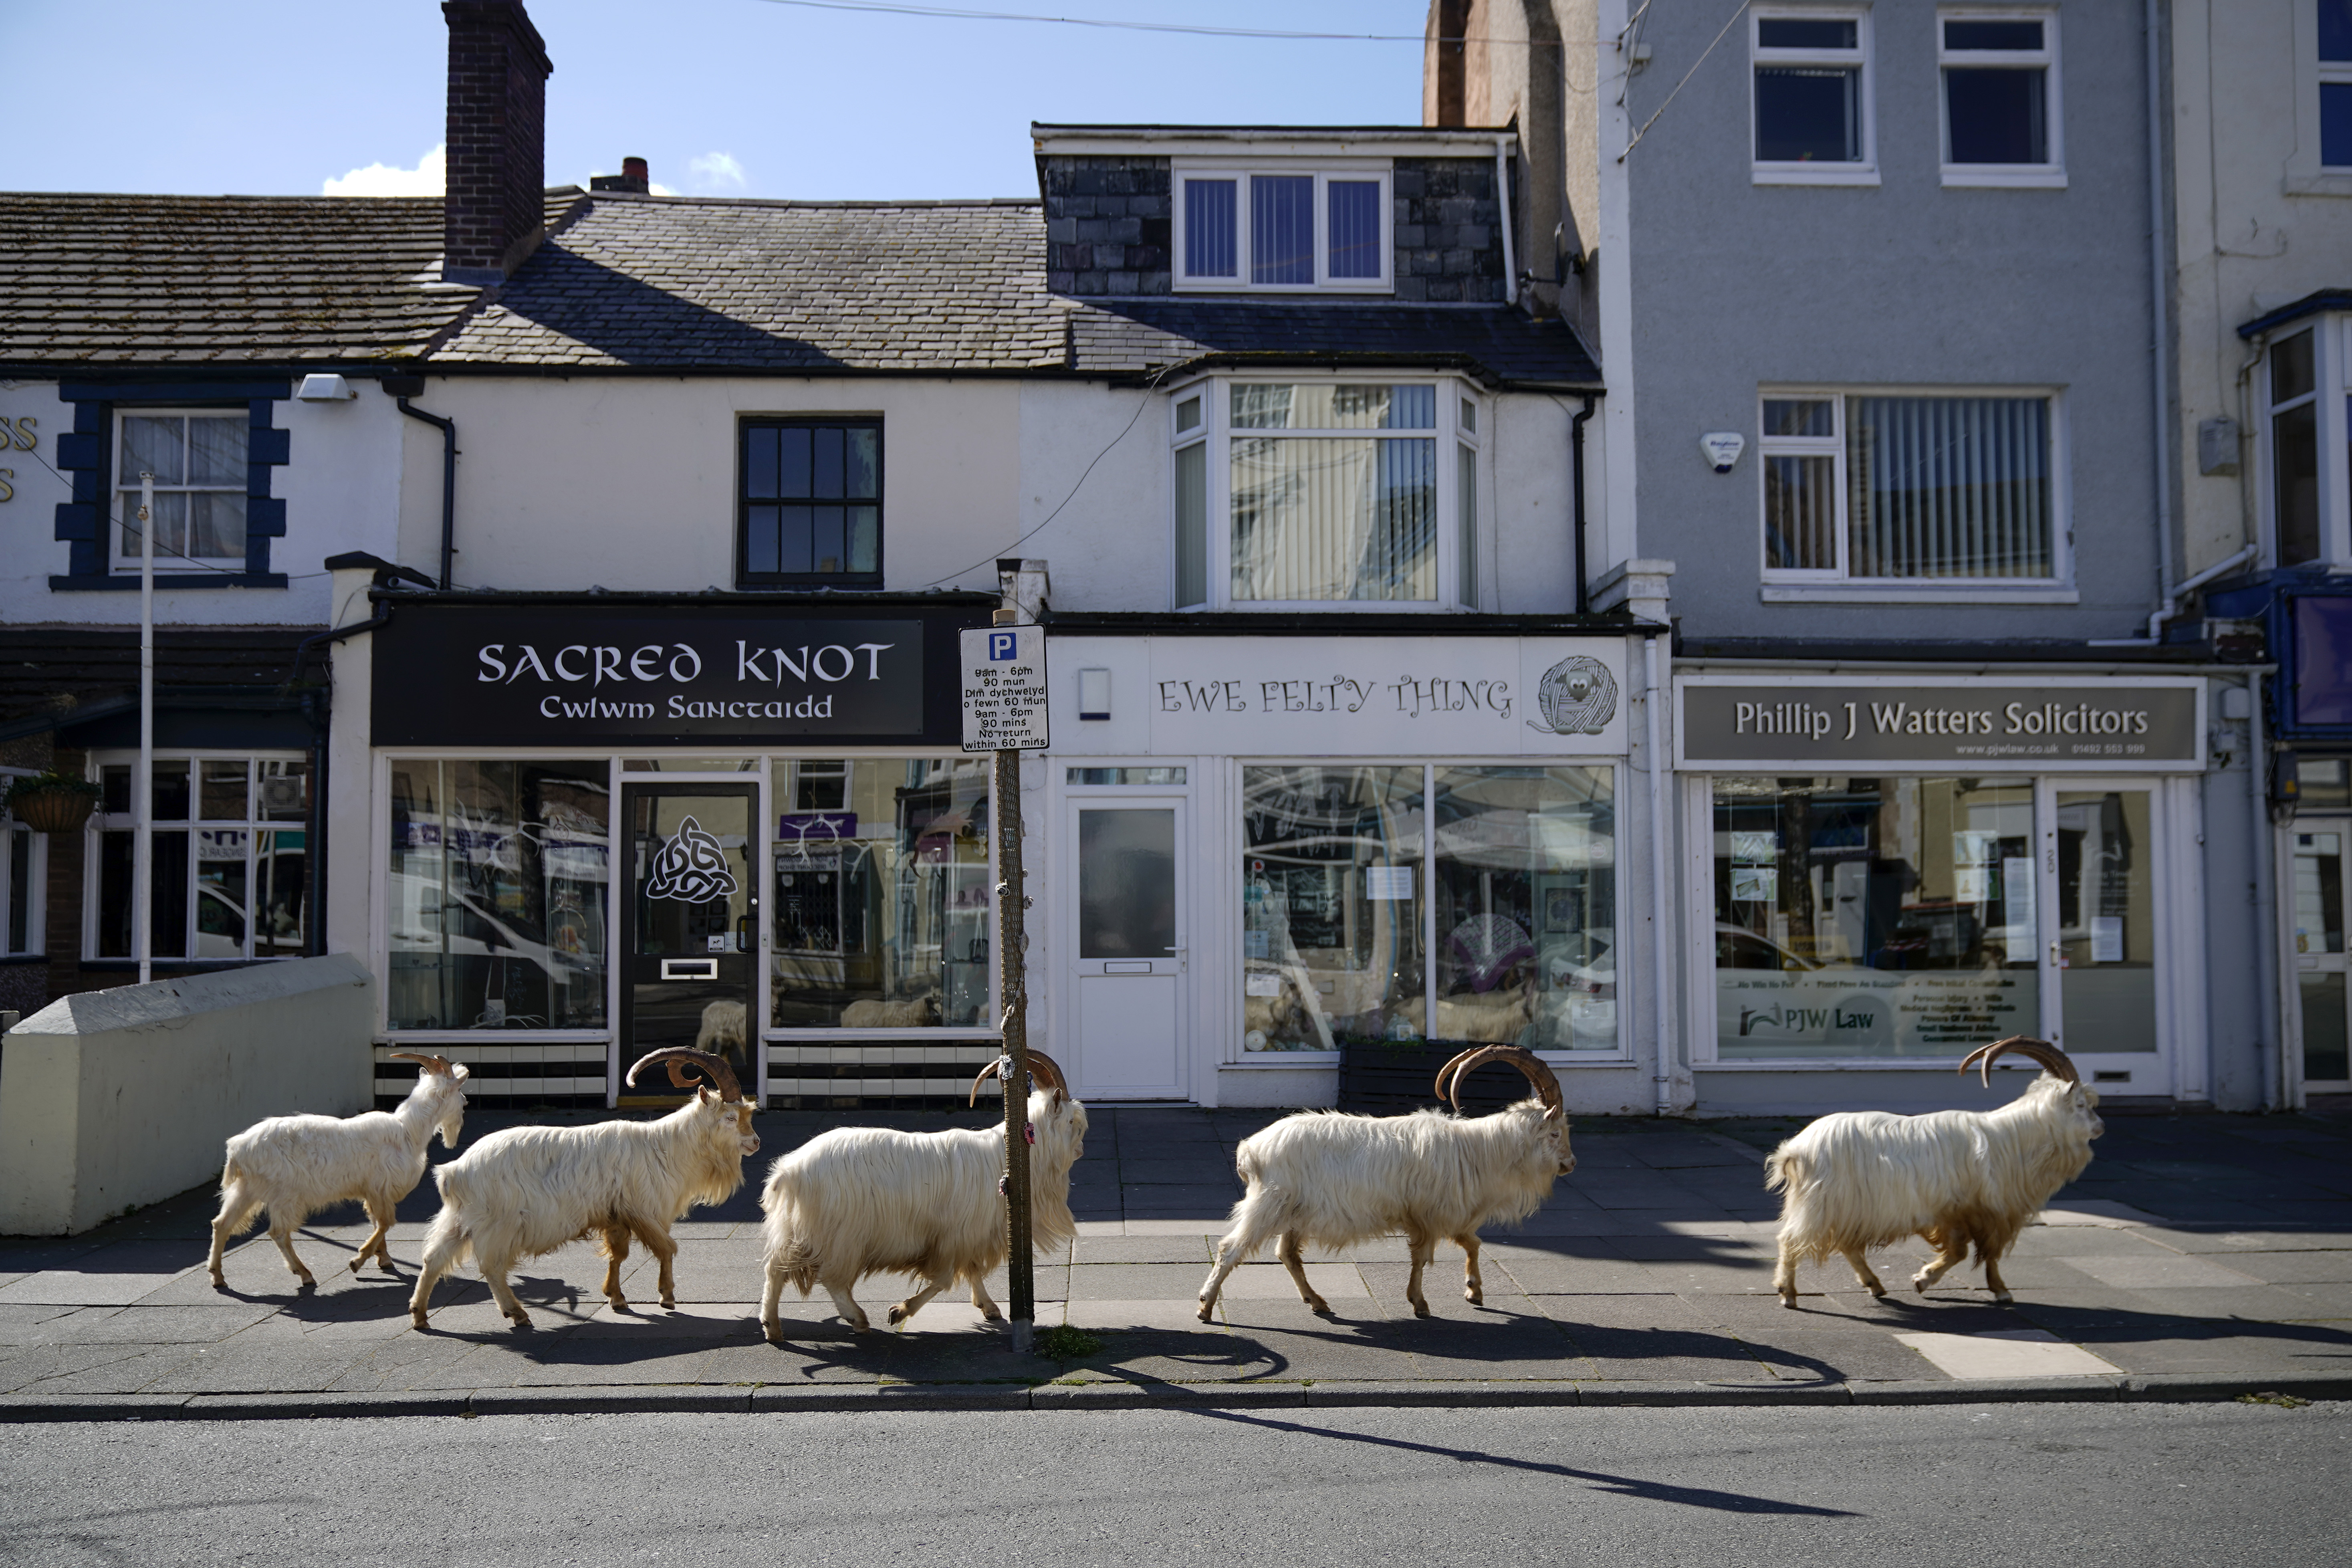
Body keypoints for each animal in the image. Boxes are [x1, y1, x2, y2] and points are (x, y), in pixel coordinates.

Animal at [212, 1048, 472, 1298]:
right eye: (460, 1093)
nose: (466, 1102)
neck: (408, 1131)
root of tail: (238, 1148)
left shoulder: (372, 1192)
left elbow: (378, 1222)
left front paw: (384, 1260)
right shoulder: (380, 1187)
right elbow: (386, 1222)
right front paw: (358, 1261)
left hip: (247, 1189)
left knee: (222, 1224)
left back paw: (218, 1277)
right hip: (285, 1195)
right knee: (278, 1232)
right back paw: (304, 1274)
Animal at [409, 1048, 757, 1335]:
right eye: (730, 1117)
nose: (755, 1142)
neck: (667, 1147)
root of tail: (455, 1171)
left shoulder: (616, 1214)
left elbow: (619, 1254)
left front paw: (617, 1297)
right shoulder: (646, 1209)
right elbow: (667, 1248)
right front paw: (667, 1297)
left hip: (459, 1218)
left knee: (433, 1257)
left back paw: (420, 1315)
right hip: (499, 1223)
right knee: (492, 1266)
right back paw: (517, 1313)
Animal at [757, 1048, 1086, 1344]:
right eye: (1072, 1122)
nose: (1081, 1150)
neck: (1009, 1157)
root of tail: (790, 1170)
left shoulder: (967, 1235)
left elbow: (972, 1269)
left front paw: (990, 1307)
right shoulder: (950, 1237)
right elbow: (943, 1279)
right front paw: (900, 1311)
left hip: (799, 1229)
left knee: (775, 1268)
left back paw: (772, 1327)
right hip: (842, 1235)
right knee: (831, 1279)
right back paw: (857, 1319)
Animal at [1194, 1048, 1580, 1316]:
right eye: (1556, 1132)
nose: (1571, 1164)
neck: (1479, 1151)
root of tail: (1251, 1149)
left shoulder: (1445, 1214)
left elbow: (1472, 1242)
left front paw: (1474, 1290)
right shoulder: (1430, 1214)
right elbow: (1424, 1257)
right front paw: (1420, 1303)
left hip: (1295, 1213)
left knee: (1287, 1253)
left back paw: (1317, 1301)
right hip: (1269, 1203)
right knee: (1230, 1249)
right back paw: (1205, 1307)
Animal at [1759, 1043, 2107, 1316]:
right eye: (2081, 1105)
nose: (2101, 1127)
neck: (2011, 1140)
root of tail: (1797, 1148)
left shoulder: (1962, 1212)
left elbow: (1971, 1252)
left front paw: (1928, 1280)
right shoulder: (1977, 1210)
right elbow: (1977, 1252)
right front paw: (1989, 1289)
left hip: (1848, 1208)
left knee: (1848, 1245)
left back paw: (1876, 1285)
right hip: (1823, 1204)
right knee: (1791, 1240)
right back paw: (1789, 1294)